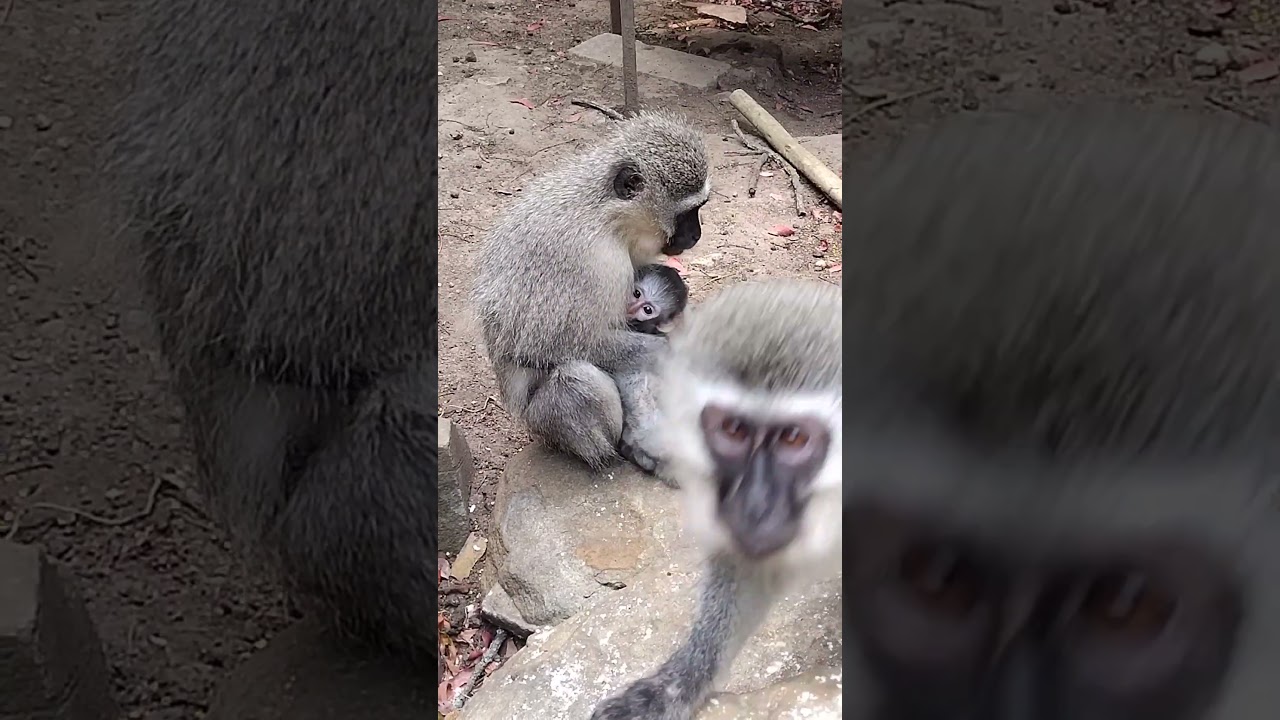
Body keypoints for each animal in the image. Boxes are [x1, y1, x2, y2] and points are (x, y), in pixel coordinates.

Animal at [471, 111, 710, 475]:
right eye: (686, 213)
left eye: (699, 208)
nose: (696, 234)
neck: (607, 217)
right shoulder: (589, 261)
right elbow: (546, 345)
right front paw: (668, 351)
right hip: (544, 422)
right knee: (577, 378)